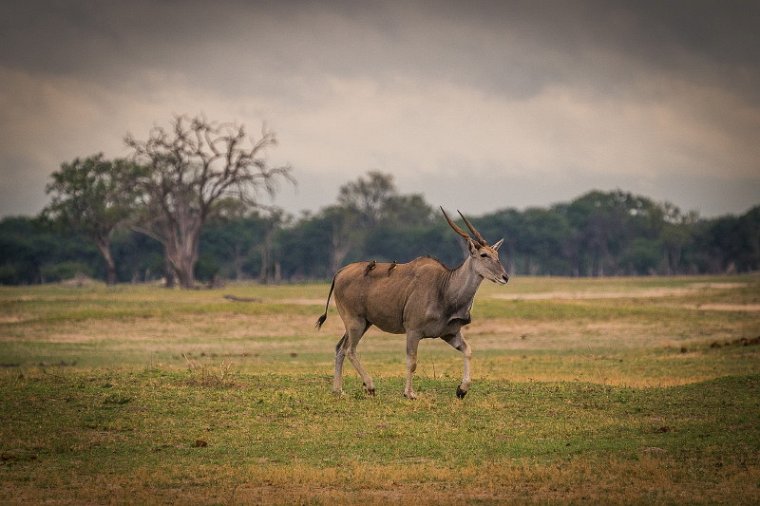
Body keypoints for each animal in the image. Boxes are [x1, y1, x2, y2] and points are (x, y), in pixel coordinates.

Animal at [314, 208, 510, 398]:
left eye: (497, 255)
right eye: (484, 255)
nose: (505, 277)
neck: (445, 287)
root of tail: (340, 271)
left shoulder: (450, 334)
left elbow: (468, 351)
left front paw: (462, 390)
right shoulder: (413, 331)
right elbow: (412, 361)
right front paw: (409, 393)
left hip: (363, 323)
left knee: (340, 348)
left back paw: (338, 390)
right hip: (355, 321)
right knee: (349, 350)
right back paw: (370, 386)